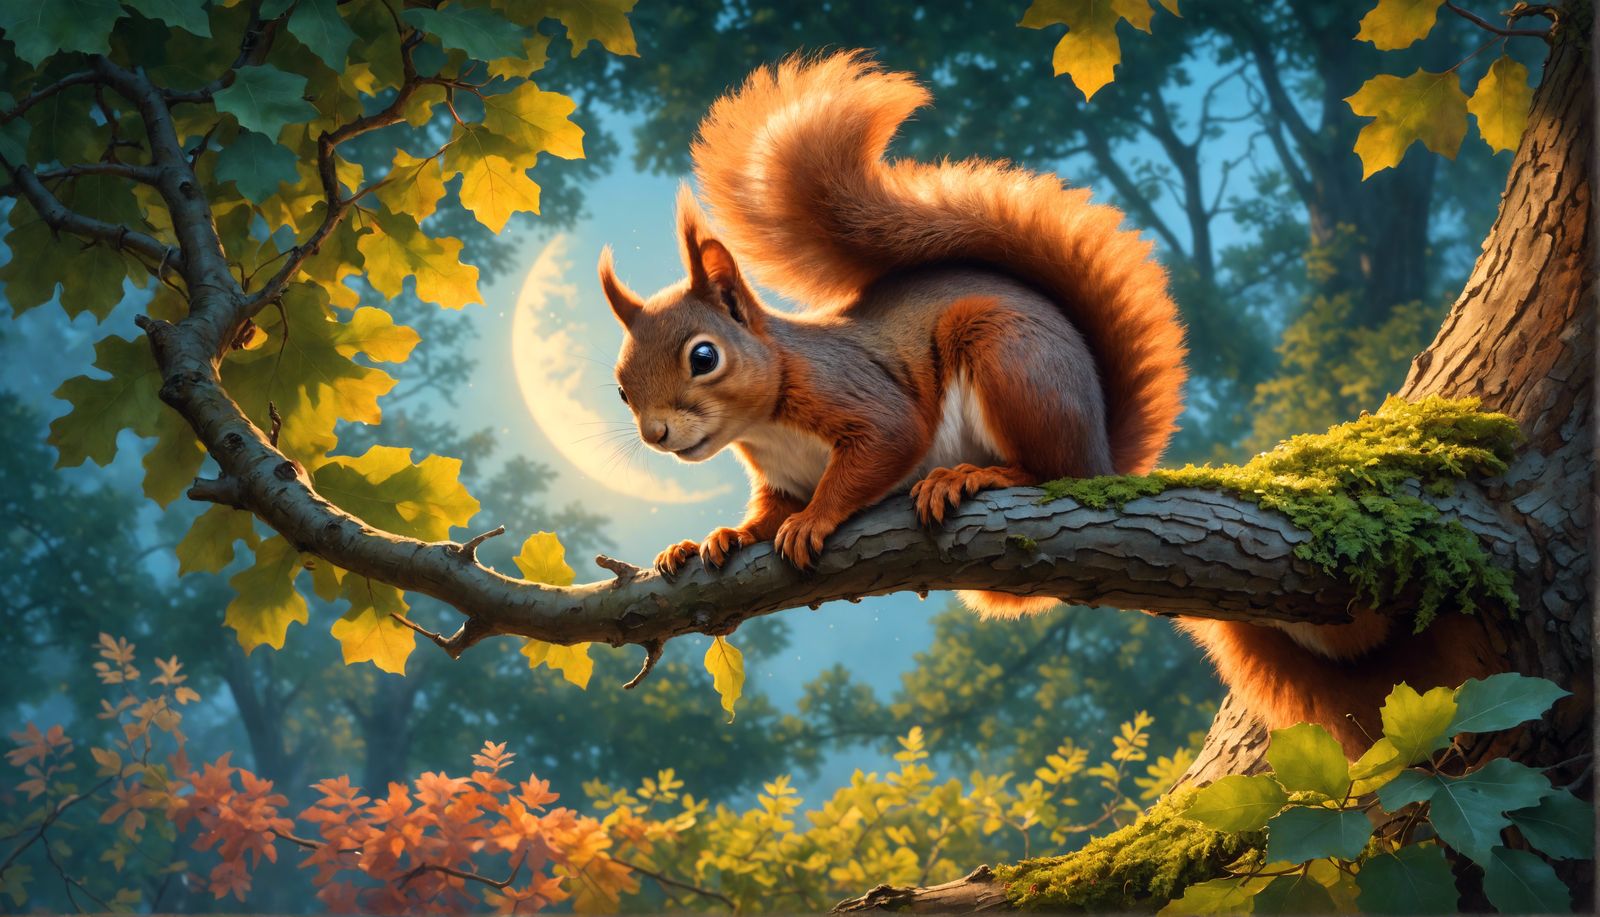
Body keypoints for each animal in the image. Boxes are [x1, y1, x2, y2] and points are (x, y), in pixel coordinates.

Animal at [597, 52, 1493, 757]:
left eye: (704, 356)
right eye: (620, 381)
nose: (657, 433)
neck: (768, 415)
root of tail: (1100, 447)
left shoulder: (859, 400)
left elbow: (877, 452)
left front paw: (816, 520)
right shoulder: (777, 472)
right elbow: (763, 510)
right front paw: (714, 538)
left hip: (1011, 364)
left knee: (1046, 472)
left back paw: (974, 478)